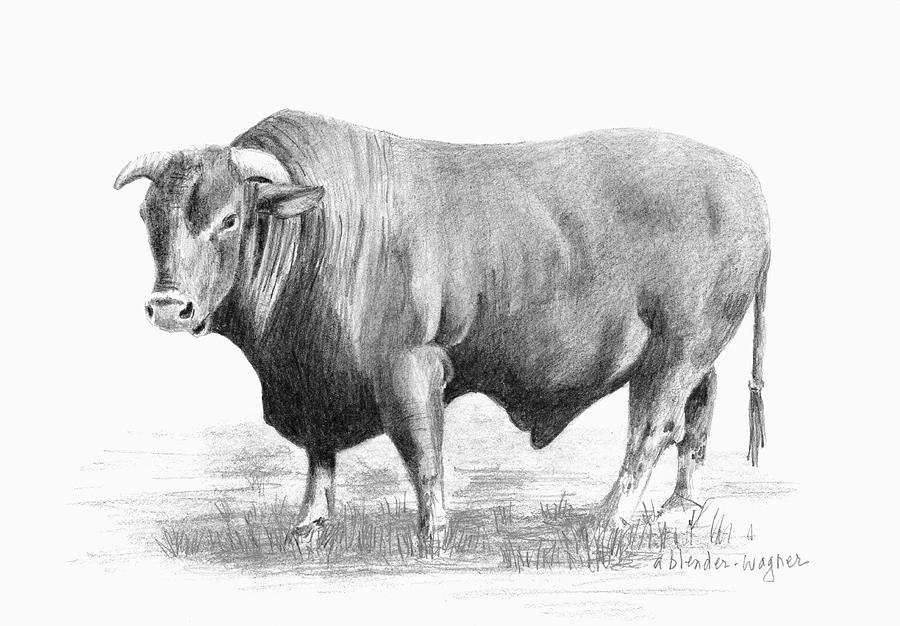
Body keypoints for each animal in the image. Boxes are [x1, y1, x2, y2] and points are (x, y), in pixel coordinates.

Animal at [115, 110, 770, 538]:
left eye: (229, 218)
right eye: (149, 215)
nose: (169, 306)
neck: (321, 228)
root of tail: (745, 180)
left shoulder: (409, 369)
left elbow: (421, 453)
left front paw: (432, 536)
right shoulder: (314, 385)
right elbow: (319, 456)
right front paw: (309, 527)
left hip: (675, 352)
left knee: (652, 427)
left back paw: (607, 521)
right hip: (692, 357)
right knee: (698, 412)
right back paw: (680, 509)